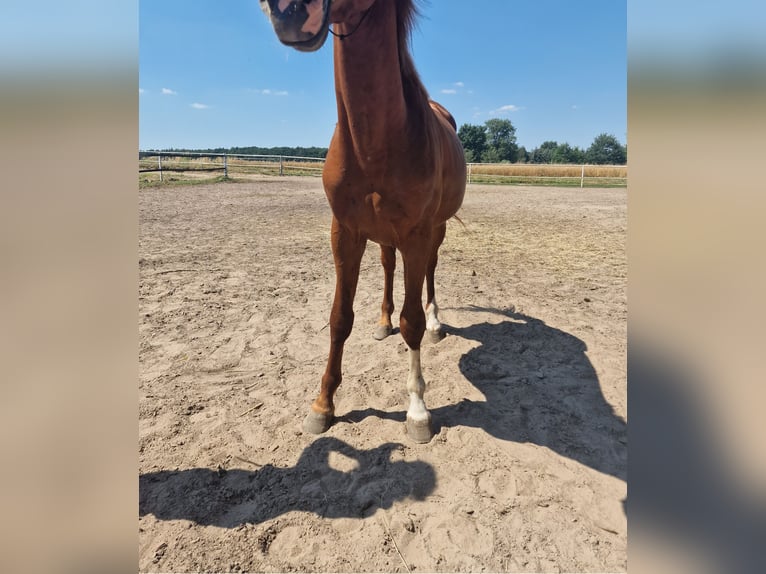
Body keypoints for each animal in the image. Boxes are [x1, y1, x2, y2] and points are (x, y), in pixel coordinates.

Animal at [260, 0, 468, 446]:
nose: (288, 10)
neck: (374, 142)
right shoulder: (345, 232)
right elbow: (339, 318)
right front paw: (323, 405)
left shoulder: (417, 234)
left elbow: (413, 323)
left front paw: (418, 411)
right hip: (385, 236)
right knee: (389, 268)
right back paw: (382, 321)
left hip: (435, 231)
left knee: (430, 273)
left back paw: (437, 322)